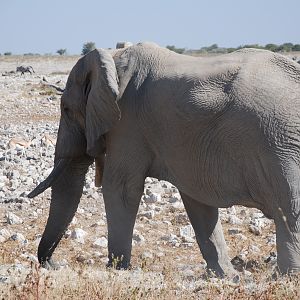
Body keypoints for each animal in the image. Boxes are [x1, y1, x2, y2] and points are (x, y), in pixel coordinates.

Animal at [28, 41, 300, 276]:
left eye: (66, 109)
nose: (53, 264)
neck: (112, 59)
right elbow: (196, 200)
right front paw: (227, 276)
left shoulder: (127, 122)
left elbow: (121, 188)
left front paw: (117, 270)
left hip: (279, 143)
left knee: (289, 207)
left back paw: (286, 277)